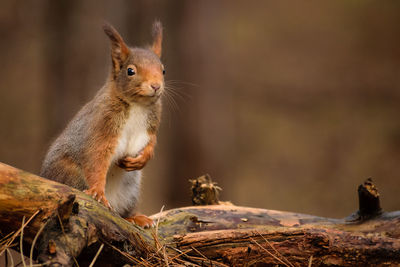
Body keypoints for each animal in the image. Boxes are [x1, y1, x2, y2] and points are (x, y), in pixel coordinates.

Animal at [39, 22, 165, 229]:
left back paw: (135, 218)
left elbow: (152, 143)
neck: (138, 105)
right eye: (130, 71)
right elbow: (96, 157)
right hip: (73, 176)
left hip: (130, 189)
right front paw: (97, 192)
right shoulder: (100, 127)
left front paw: (142, 159)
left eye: (163, 70)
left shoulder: (150, 130)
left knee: (123, 214)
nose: (156, 86)